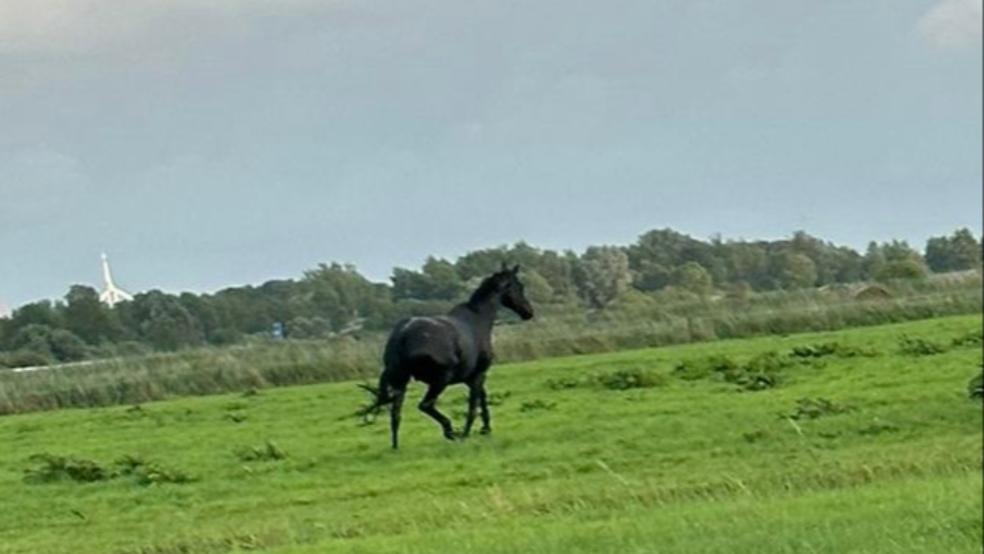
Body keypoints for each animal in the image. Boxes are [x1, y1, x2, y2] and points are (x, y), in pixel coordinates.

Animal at [361, 264, 534, 449]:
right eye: (519, 286)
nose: (528, 312)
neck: (478, 320)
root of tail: (403, 334)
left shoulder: (470, 378)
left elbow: (482, 399)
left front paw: (485, 429)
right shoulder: (478, 375)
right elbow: (473, 407)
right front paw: (466, 434)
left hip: (402, 380)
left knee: (395, 415)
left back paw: (396, 447)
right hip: (440, 380)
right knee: (425, 405)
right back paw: (450, 431)